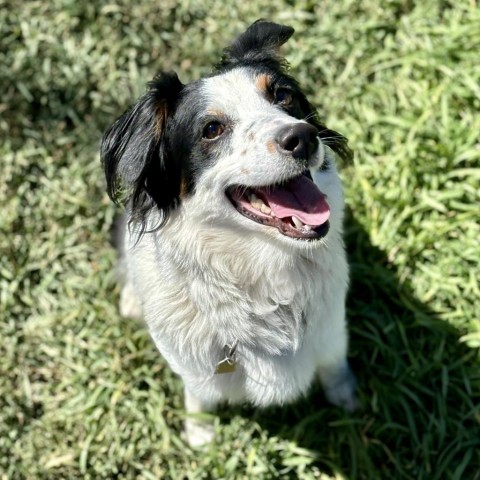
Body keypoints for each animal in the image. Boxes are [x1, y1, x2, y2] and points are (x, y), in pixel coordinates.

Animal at [100, 19, 356, 446]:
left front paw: (346, 396)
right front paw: (200, 434)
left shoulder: (332, 327)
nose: (303, 136)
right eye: (212, 129)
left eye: (282, 95)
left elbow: (333, 364)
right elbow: (199, 395)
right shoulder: (193, 364)